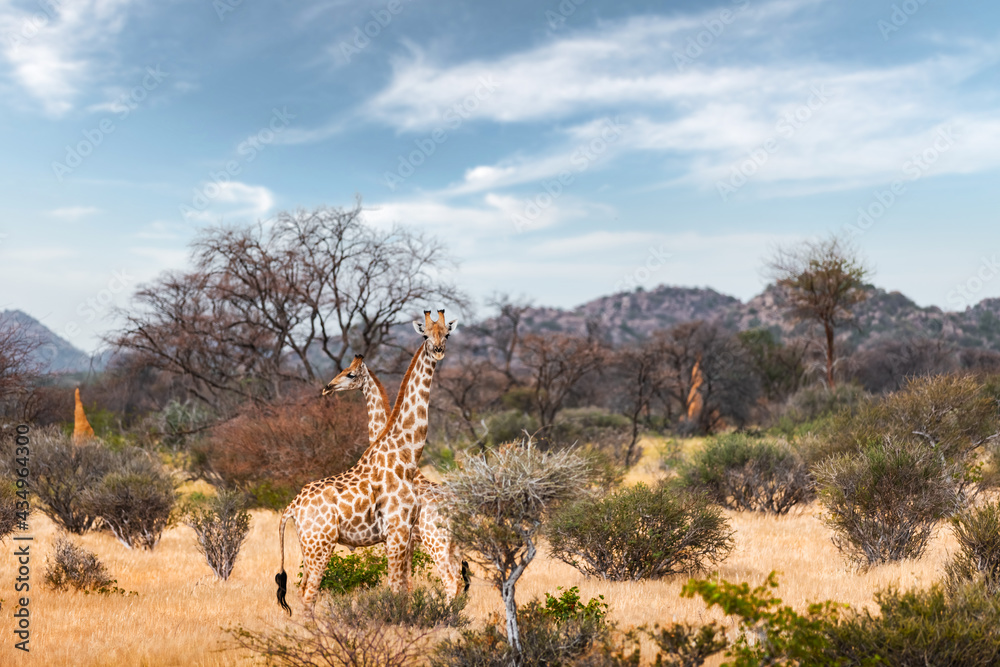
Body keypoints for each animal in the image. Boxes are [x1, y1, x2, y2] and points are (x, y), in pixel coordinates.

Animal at [321, 354, 466, 600]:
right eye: (342, 370)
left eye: (350, 374)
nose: (328, 387)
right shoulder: (407, 541)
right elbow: (407, 584)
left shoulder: (399, 536)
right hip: (454, 544)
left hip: (436, 540)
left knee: (451, 581)